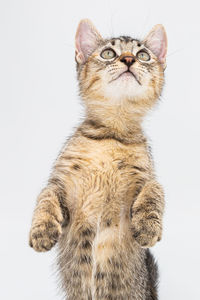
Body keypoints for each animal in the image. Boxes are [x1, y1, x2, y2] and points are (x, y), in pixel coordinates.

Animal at [28, 19, 166, 300]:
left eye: (143, 55)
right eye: (108, 53)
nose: (128, 59)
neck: (111, 135)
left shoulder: (144, 174)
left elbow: (156, 188)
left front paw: (148, 226)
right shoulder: (62, 183)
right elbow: (45, 196)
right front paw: (42, 230)